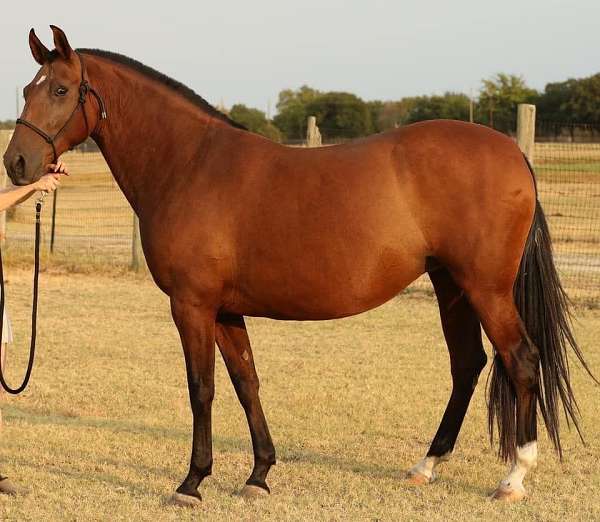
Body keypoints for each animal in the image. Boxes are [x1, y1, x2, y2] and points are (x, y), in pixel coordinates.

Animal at [2, 25, 592, 504]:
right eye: (27, 89)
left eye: (59, 89)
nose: (18, 164)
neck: (189, 163)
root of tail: (513, 153)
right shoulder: (224, 309)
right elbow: (246, 381)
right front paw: (258, 475)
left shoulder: (192, 305)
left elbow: (201, 387)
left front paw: (192, 483)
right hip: (451, 285)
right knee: (468, 364)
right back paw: (426, 466)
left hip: (486, 288)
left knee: (521, 359)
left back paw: (513, 477)